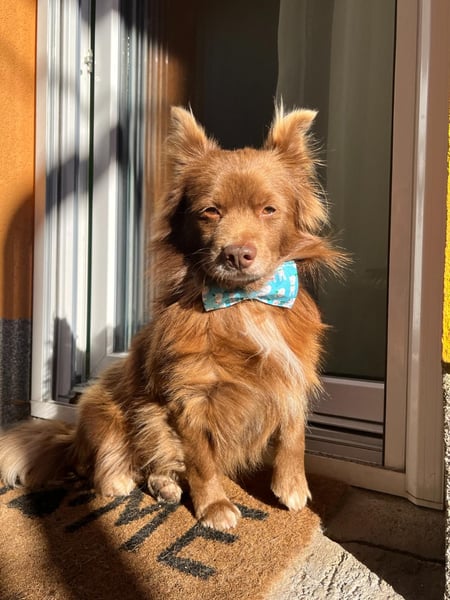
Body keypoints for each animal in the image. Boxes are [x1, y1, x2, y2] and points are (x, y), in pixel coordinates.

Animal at [0, 106, 343, 531]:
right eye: (210, 212)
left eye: (269, 210)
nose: (236, 253)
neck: (242, 304)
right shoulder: (188, 400)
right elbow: (201, 461)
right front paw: (214, 506)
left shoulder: (291, 373)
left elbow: (294, 432)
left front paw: (292, 486)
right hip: (105, 405)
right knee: (110, 464)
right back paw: (123, 480)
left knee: (155, 465)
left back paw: (164, 484)